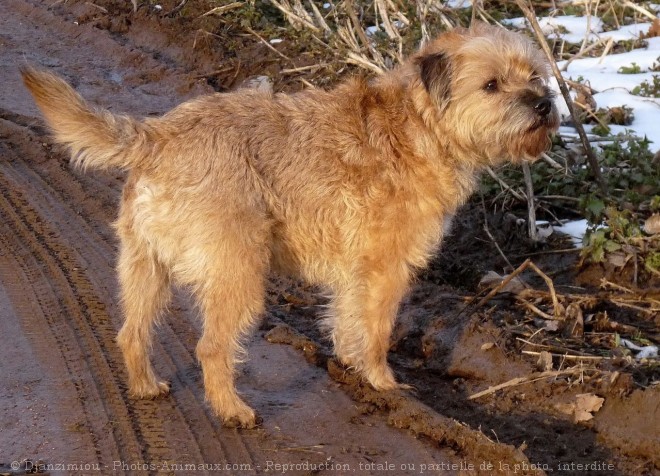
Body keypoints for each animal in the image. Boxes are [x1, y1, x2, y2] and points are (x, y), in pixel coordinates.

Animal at [21, 21, 556, 428]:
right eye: (491, 85)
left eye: (534, 75)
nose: (544, 103)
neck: (419, 126)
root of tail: (157, 135)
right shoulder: (387, 267)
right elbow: (378, 329)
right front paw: (383, 382)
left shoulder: (357, 271)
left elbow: (347, 319)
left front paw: (352, 366)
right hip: (238, 273)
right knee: (211, 347)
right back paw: (232, 410)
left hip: (143, 266)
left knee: (132, 333)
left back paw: (146, 386)